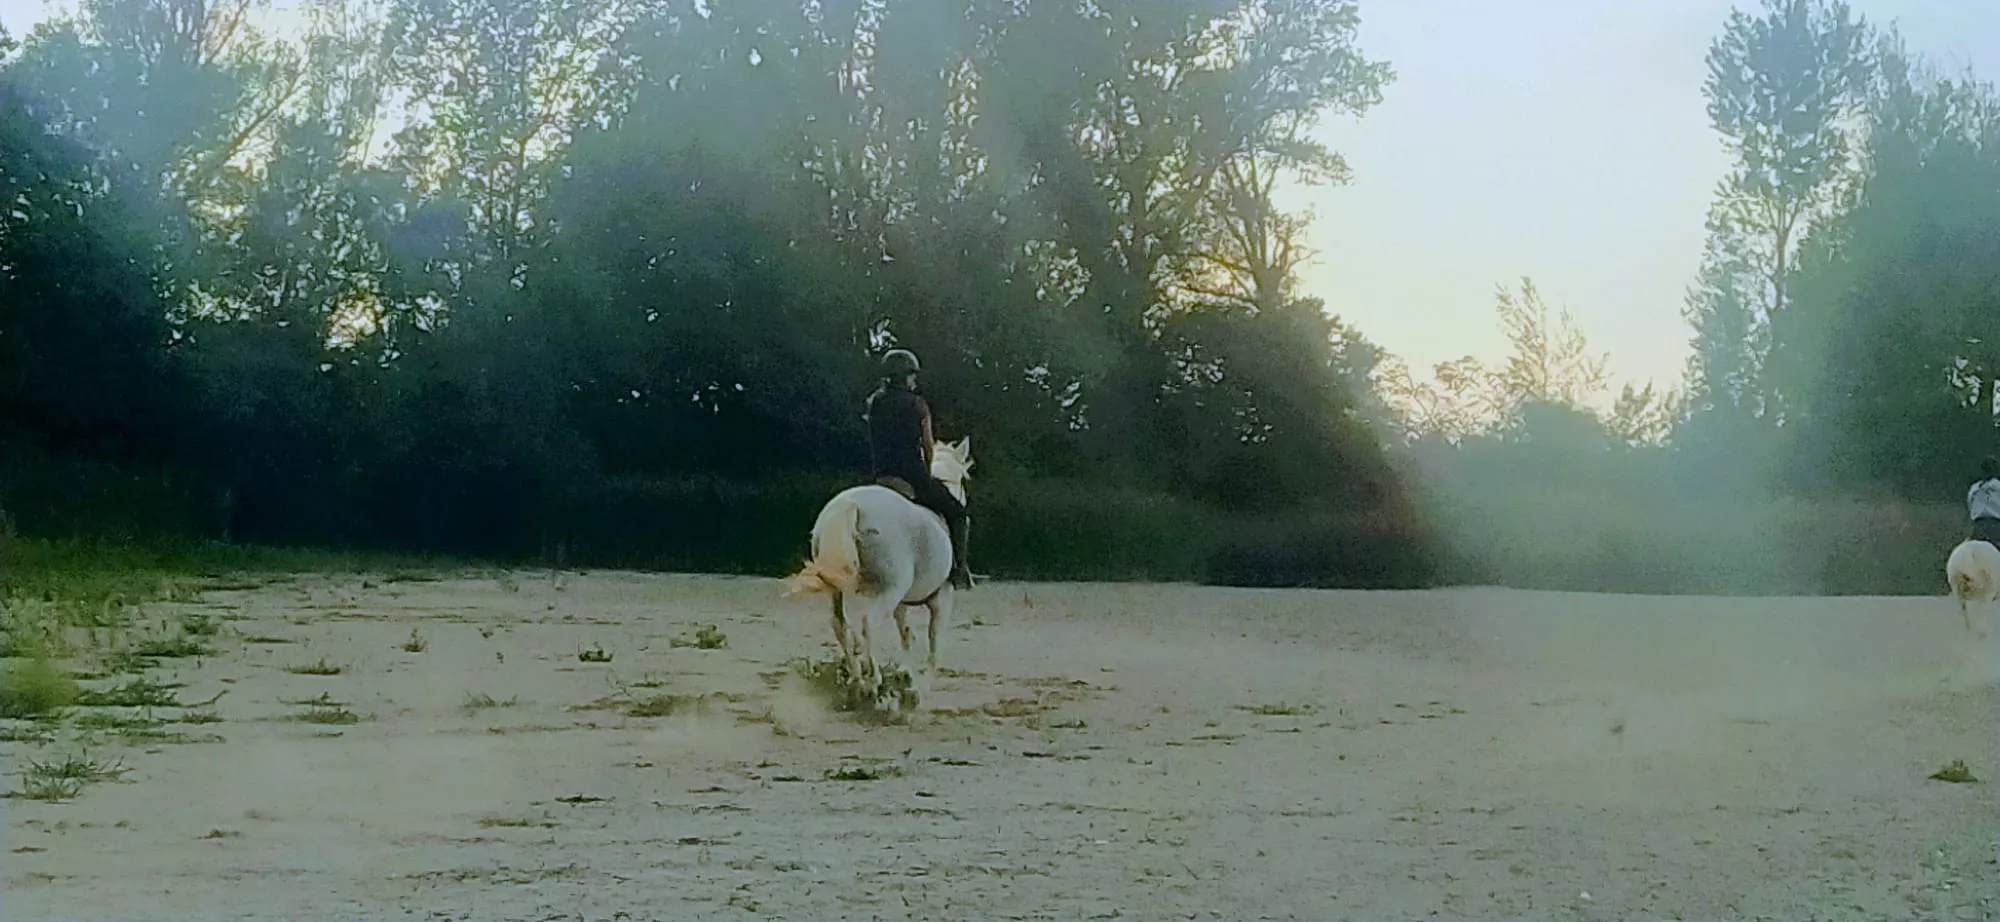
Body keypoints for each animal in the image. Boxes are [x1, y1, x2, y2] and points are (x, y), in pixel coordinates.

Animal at [783, 438, 973, 709]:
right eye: (964, 478)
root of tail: (850, 505)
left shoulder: (901, 604)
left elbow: (906, 636)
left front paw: (908, 677)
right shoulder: (941, 598)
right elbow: (934, 644)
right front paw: (921, 691)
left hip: (838, 589)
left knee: (840, 625)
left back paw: (856, 680)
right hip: (888, 591)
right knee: (868, 625)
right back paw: (873, 682)